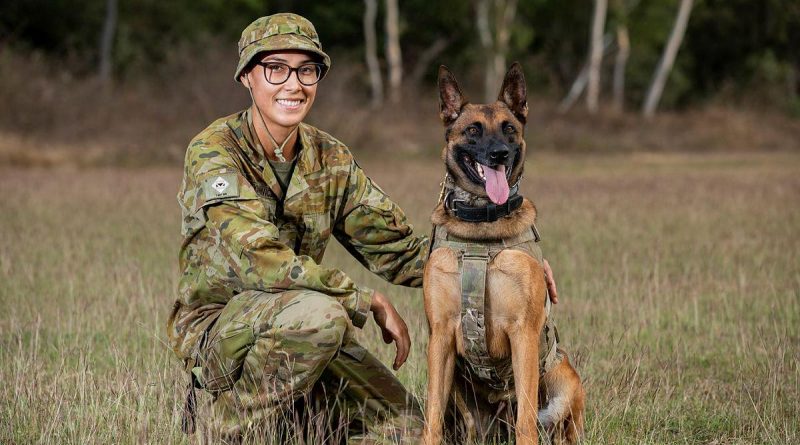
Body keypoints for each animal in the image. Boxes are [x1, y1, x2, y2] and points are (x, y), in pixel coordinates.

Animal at [422, 63, 584, 444]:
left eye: (509, 129)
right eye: (472, 130)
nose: (499, 155)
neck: (481, 228)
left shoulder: (523, 333)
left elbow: (527, 420)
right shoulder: (440, 337)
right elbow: (432, 417)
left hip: (565, 379)